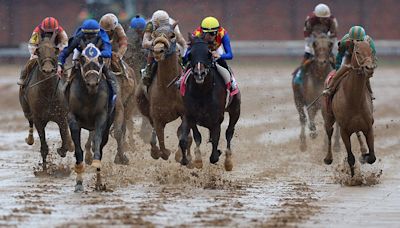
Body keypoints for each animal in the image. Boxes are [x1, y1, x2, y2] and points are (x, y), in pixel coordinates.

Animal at [18, 34, 72, 170]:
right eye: (38, 51)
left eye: (55, 50)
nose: (48, 70)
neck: (48, 94)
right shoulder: (39, 119)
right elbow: (43, 147)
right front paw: (44, 168)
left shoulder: (61, 116)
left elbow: (65, 138)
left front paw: (66, 147)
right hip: (27, 111)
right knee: (30, 122)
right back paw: (30, 139)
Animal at [178, 36, 241, 171]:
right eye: (190, 54)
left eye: (209, 54)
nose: (199, 73)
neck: (202, 92)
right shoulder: (189, 115)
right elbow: (192, 138)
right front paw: (194, 160)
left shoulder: (217, 119)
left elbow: (214, 151)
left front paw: (217, 154)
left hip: (235, 109)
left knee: (229, 132)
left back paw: (228, 161)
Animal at [320, 40, 376, 176]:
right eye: (357, 52)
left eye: (371, 51)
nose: (369, 68)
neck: (354, 100)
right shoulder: (344, 130)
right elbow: (350, 158)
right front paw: (354, 177)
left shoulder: (368, 127)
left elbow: (372, 157)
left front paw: (364, 156)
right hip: (328, 118)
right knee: (329, 132)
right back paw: (328, 158)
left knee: (358, 134)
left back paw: (363, 149)